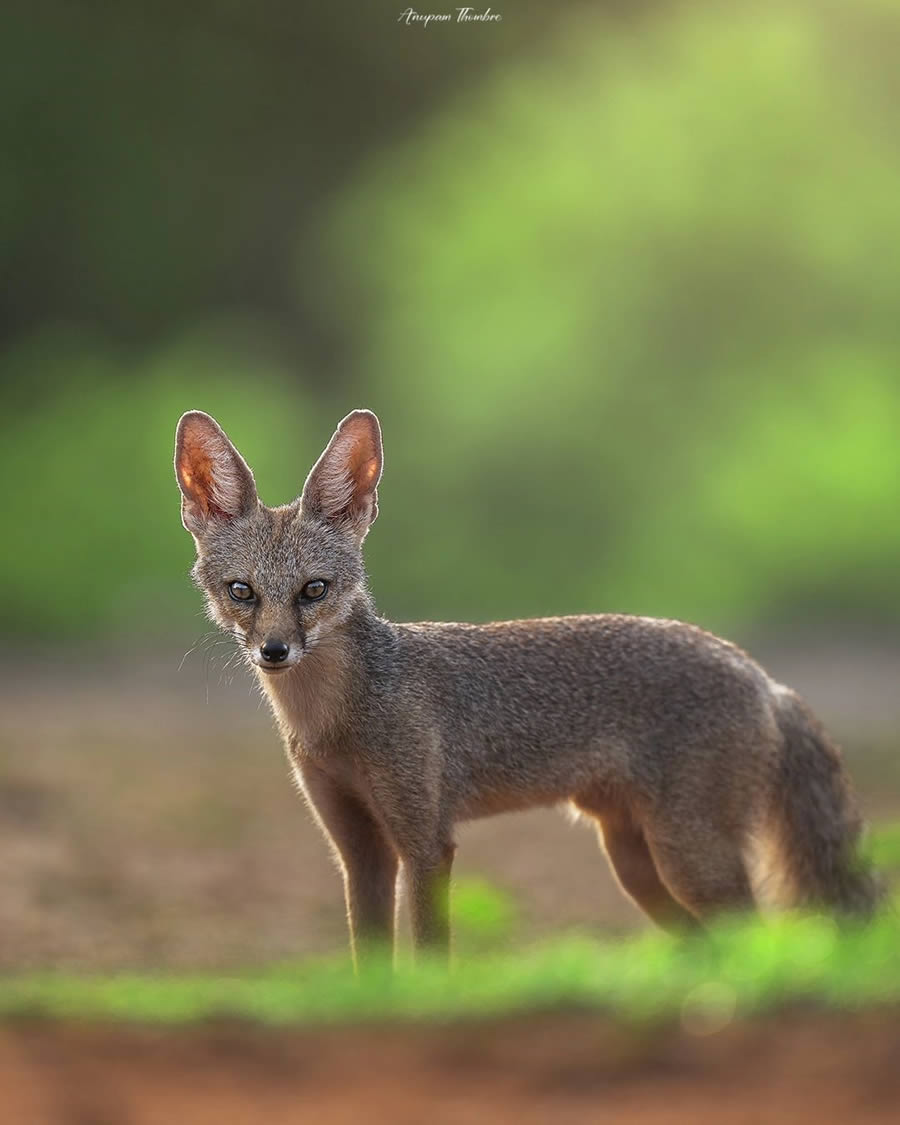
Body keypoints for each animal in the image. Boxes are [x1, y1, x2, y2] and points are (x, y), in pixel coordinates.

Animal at [172, 409, 882, 963]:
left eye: (313, 590)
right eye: (243, 592)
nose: (274, 651)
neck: (334, 723)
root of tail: (766, 678)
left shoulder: (426, 843)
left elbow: (429, 957)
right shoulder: (359, 850)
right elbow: (369, 965)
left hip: (689, 857)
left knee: (759, 941)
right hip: (639, 866)